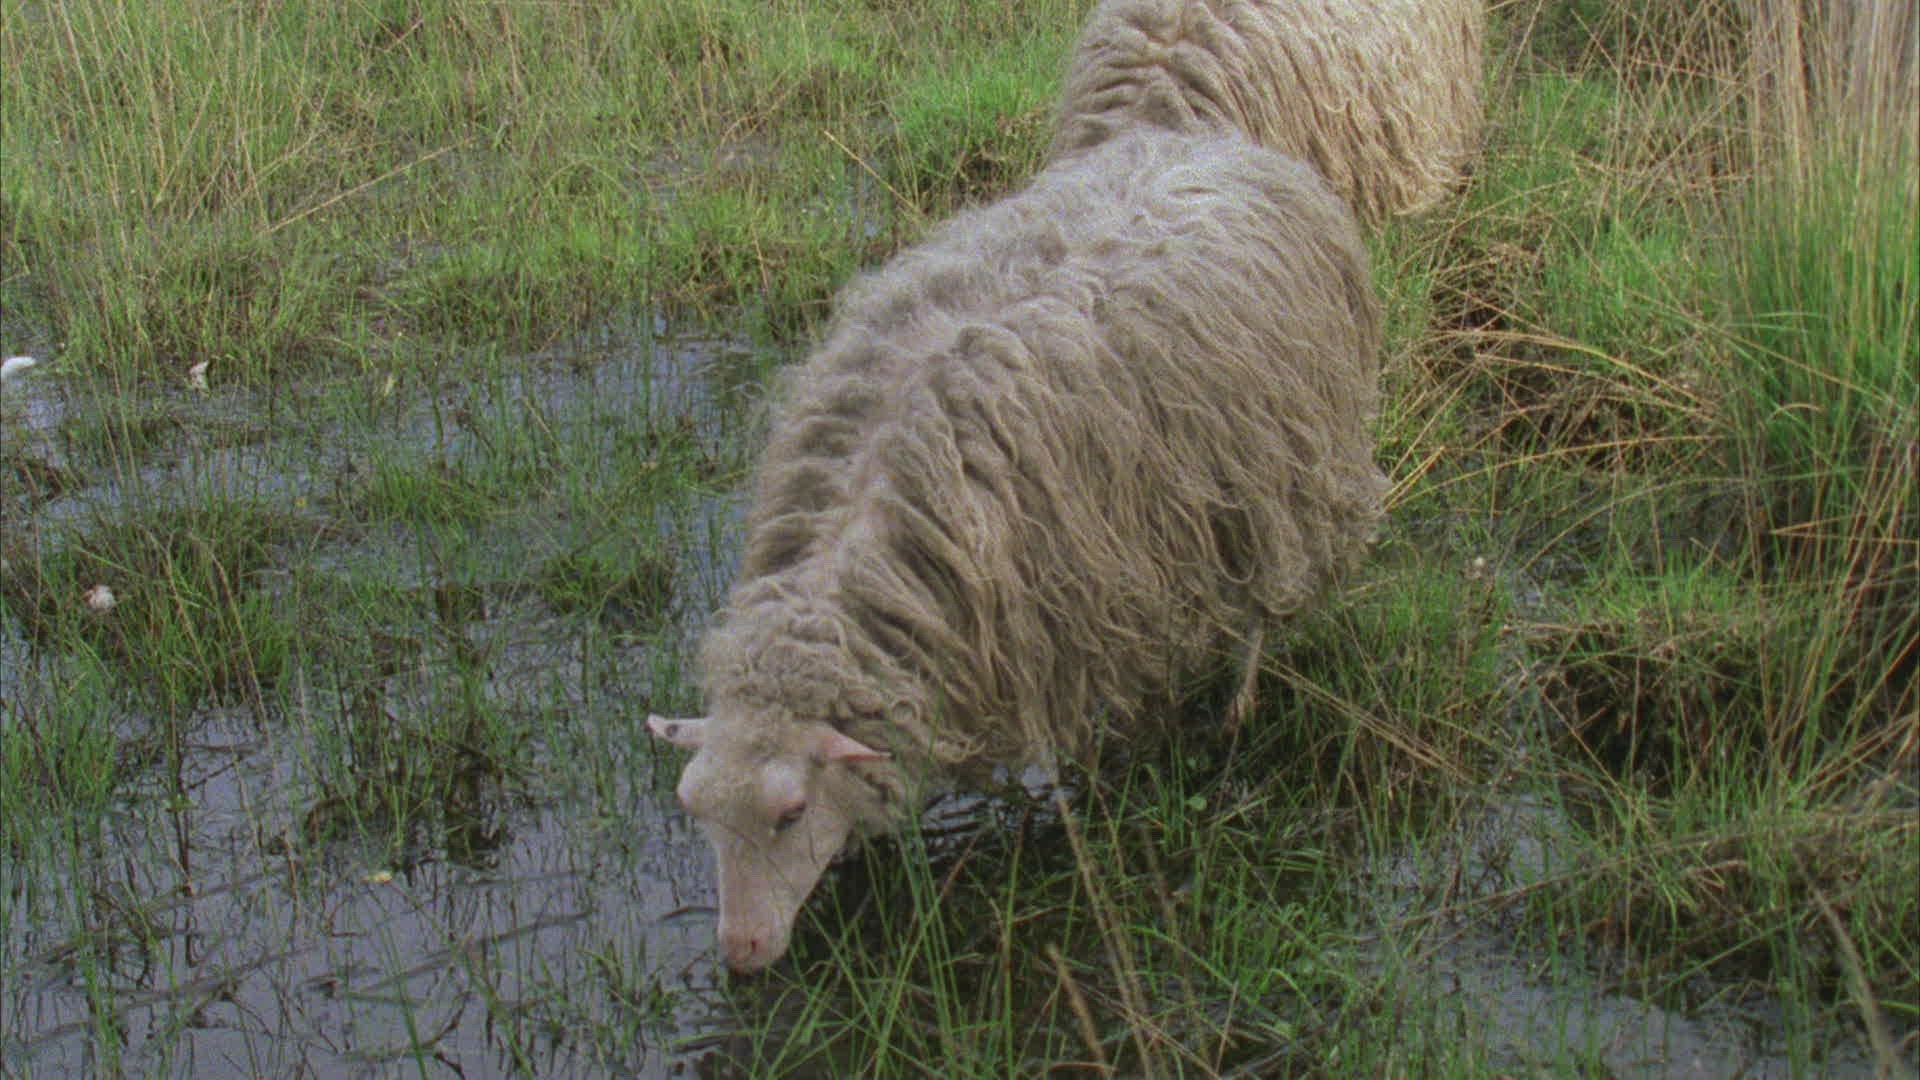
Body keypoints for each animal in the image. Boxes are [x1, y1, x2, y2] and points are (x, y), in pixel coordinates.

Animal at [649, 129, 1385, 973]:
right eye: (694, 809)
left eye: (791, 811)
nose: (741, 952)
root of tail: (1219, 143)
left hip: (1279, 465)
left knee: (1268, 588)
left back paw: (1237, 703)